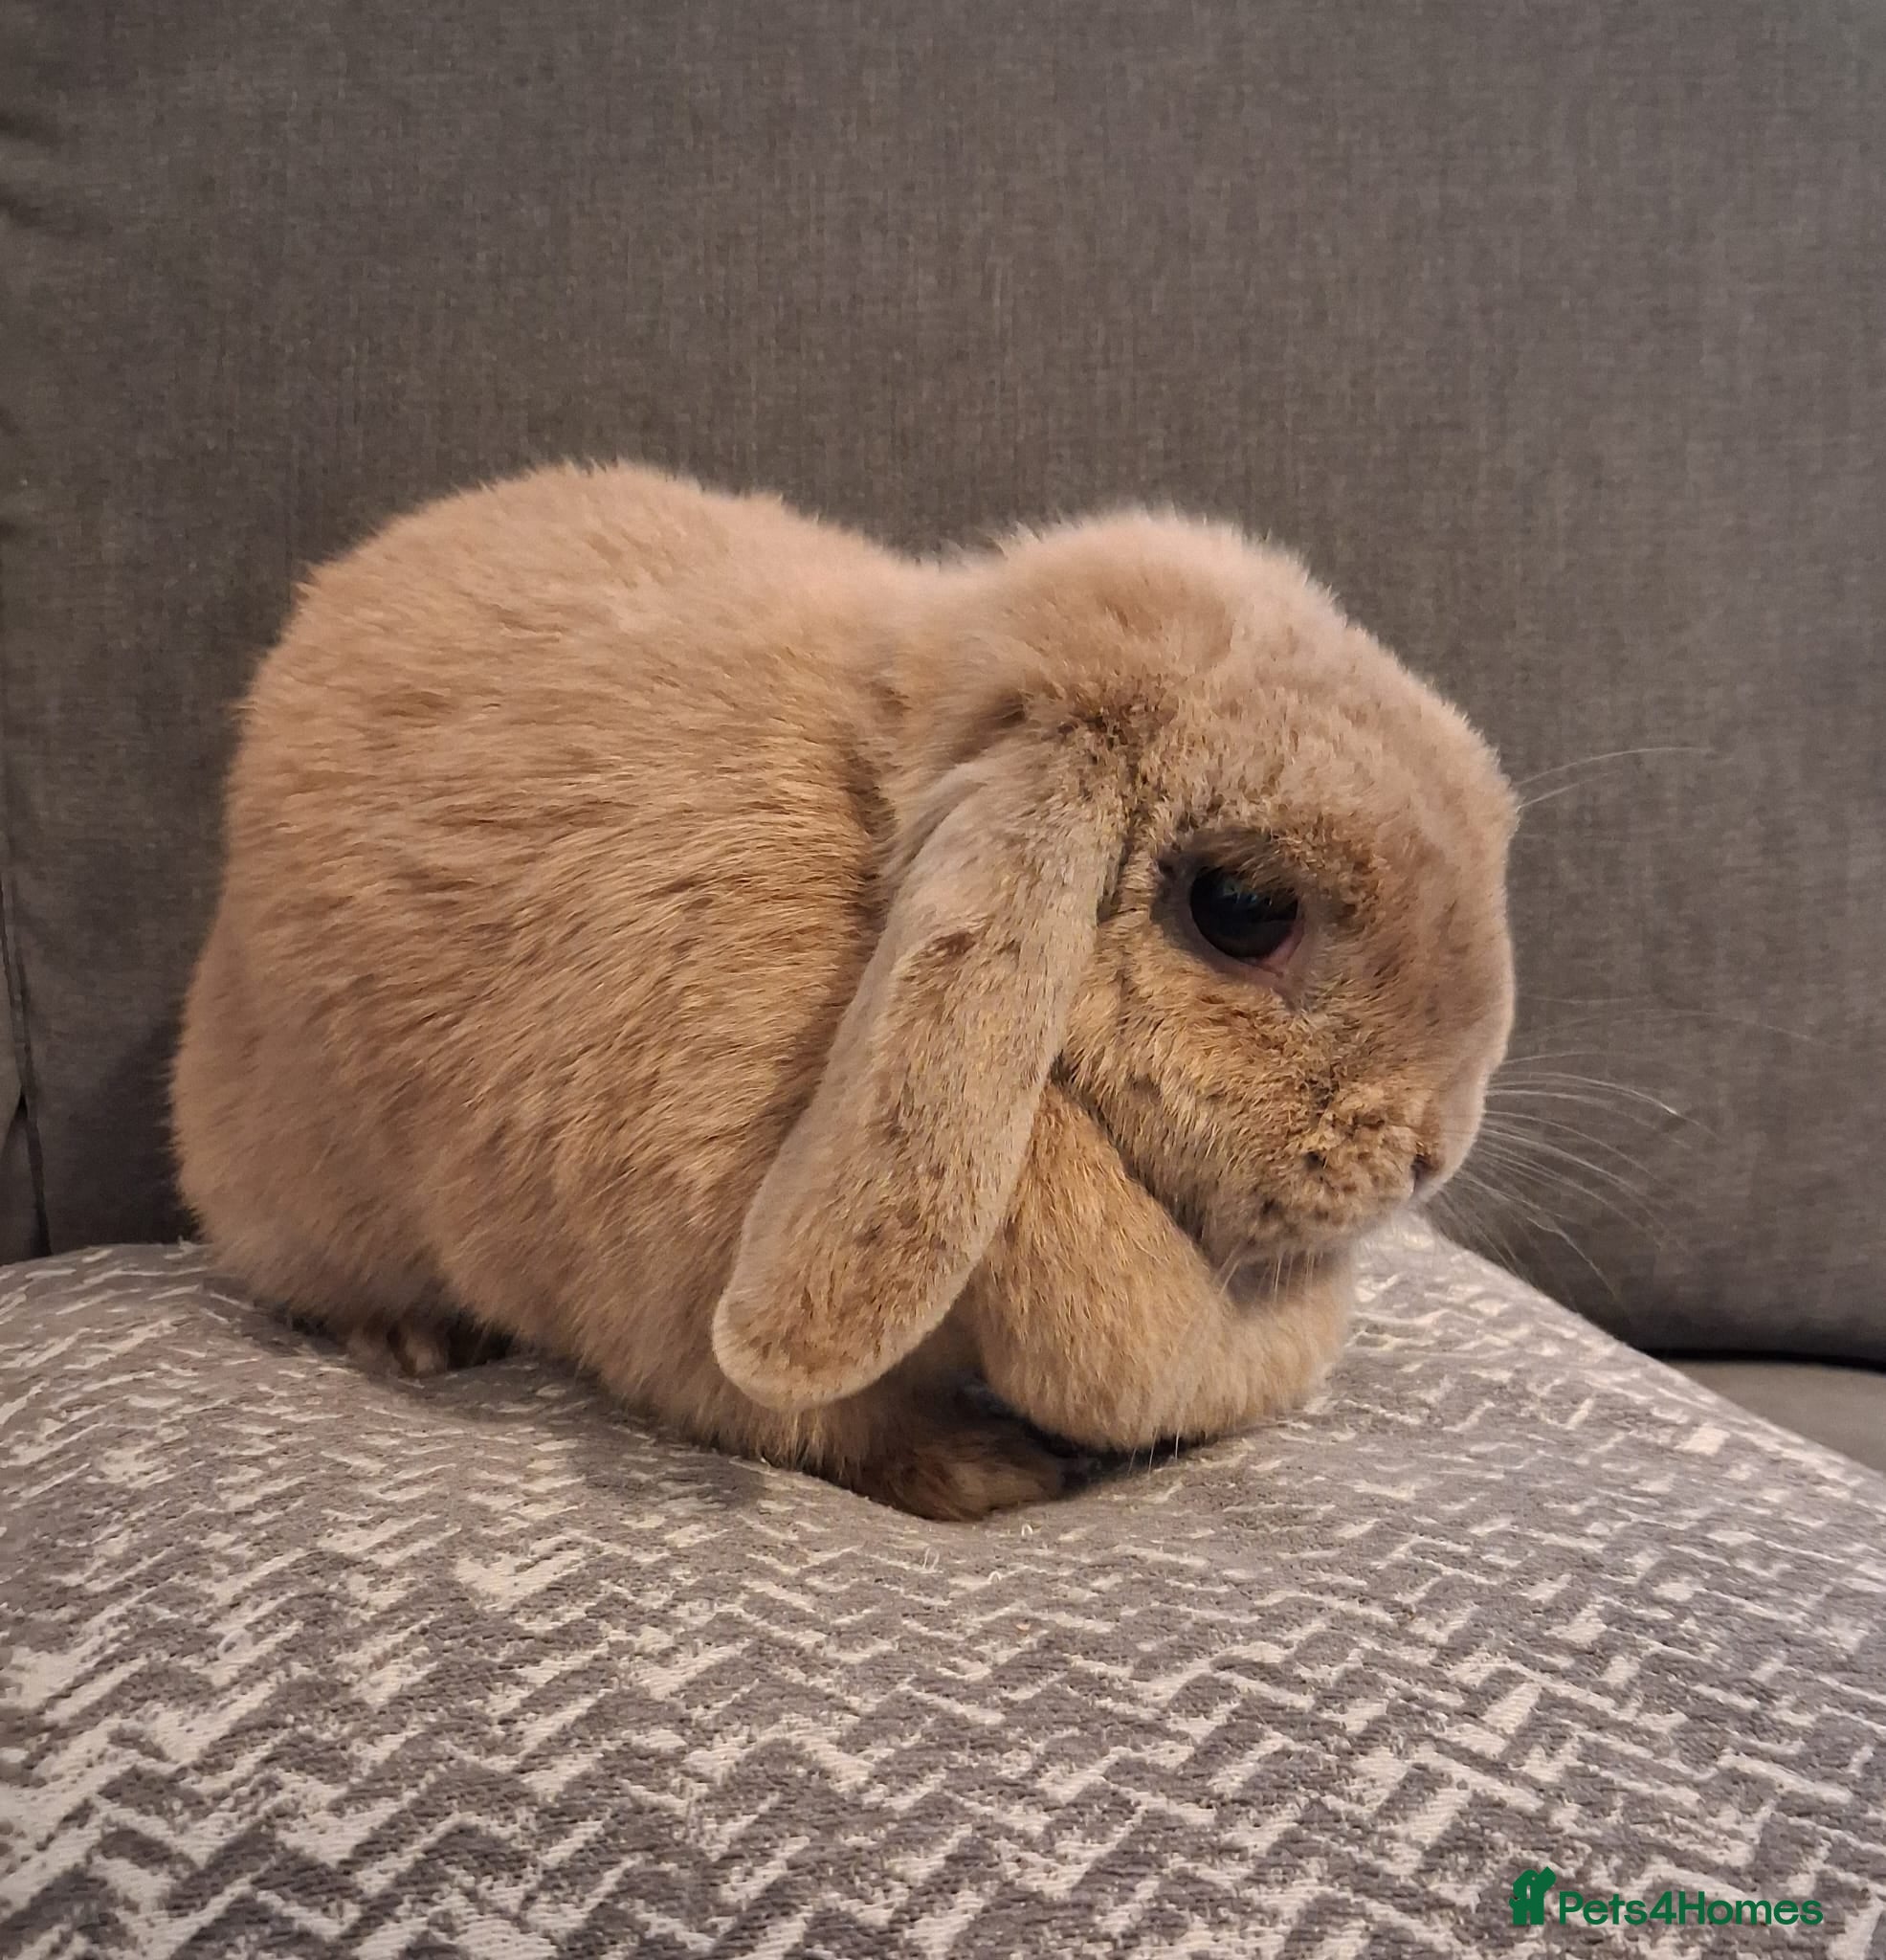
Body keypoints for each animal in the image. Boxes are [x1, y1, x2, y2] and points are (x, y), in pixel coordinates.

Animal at [173, 461, 1517, 1520]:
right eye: (1242, 909)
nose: (1430, 1157)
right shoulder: (687, 1305)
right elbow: (822, 1419)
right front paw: (989, 1472)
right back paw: (409, 1336)